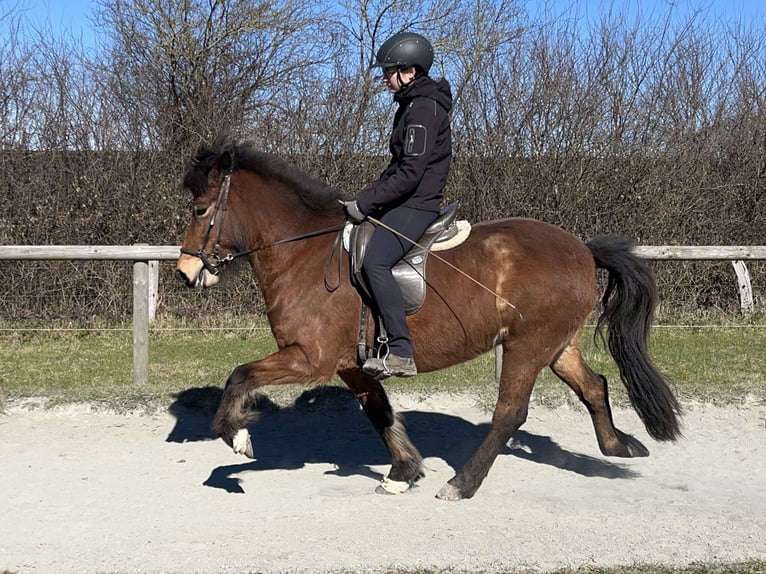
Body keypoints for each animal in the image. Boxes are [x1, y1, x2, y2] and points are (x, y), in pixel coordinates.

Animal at [175, 135, 682, 500]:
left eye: (200, 210)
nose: (185, 272)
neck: (305, 252)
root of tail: (581, 248)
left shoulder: (309, 358)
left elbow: (240, 375)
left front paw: (235, 437)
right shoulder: (350, 363)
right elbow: (378, 411)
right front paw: (403, 471)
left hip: (526, 346)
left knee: (510, 413)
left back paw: (462, 484)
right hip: (558, 345)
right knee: (594, 386)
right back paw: (618, 446)